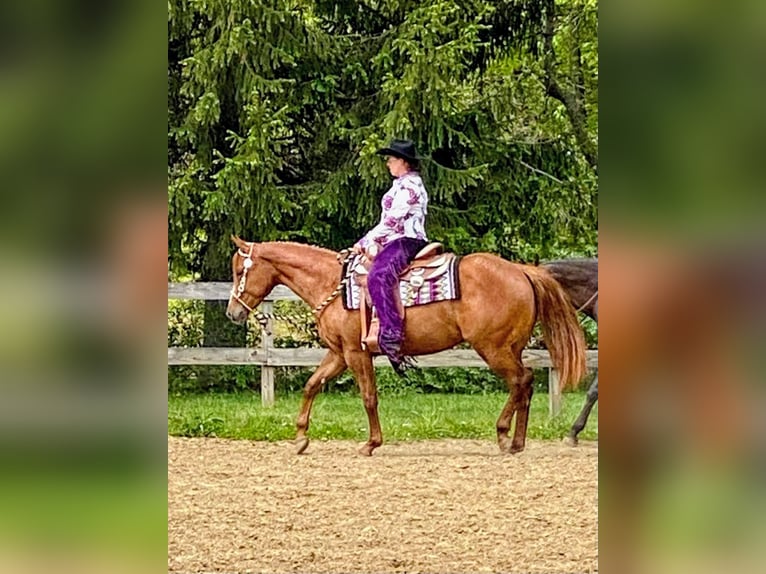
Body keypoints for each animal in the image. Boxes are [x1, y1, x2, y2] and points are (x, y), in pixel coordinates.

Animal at [226, 237, 586, 456]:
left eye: (239, 270)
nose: (233, 312)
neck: (333, 284)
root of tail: (522, 271)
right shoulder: (339, 353)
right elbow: (312, 385)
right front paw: (301, 437)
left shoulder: (356, 354)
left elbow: (369, 397)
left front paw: (371, 443)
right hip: (510, 347)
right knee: (525, 383)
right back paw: (517, 441)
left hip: (493, 348)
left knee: (520, 381)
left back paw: (502, 435)